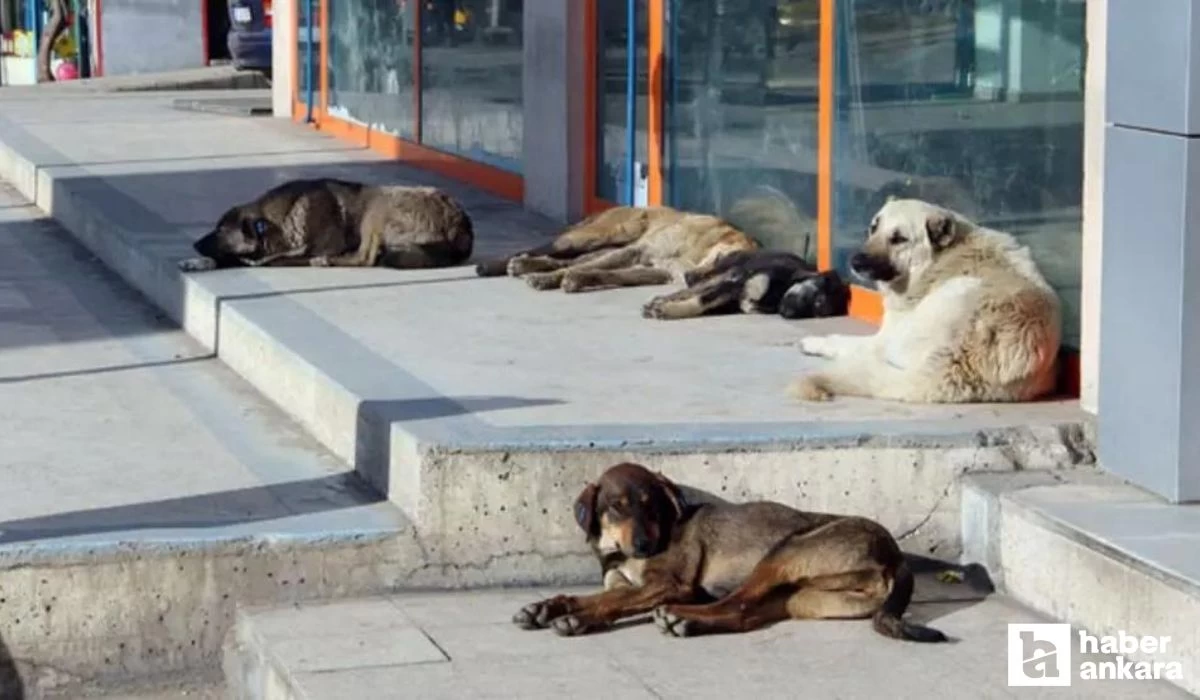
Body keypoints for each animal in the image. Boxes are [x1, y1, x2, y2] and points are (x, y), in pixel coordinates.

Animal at [177, 177, 472, 271]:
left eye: (220, 230)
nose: (194, 244)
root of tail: (460, 221)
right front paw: (196, 263)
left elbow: (273, 259)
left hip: (376, 210)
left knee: (365, 258)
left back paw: (328, 261)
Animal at [511, 463, 988, 643]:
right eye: (617, 507)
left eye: (652, 506)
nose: (645, 544)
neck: (621, 554)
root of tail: (896, 554)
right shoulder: (622, 581)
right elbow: (597, 595)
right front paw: (546, 606)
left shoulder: (669, 583)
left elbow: (610, 603)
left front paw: (575, 619)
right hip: (800, 597)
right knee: (744, 615)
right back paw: (690, 622)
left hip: (784, 552)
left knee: (736, 603)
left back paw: (681, 618)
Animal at [643, 249, 849, 319]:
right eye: (818, 300)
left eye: (818, 311)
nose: (789, 314)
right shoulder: (736, 282)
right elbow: (701, 300)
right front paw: (669, 310)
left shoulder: (735, 297)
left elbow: (703, 301)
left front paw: (668, 308)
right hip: (727, 271)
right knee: (695, 287)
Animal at [792, 196, 1065, 405]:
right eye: (873, 228)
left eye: (899, 239)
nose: (856, 261)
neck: (940, 259)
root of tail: (960, 359)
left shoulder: (884, 336)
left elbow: (842, 340)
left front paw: (815, 341)